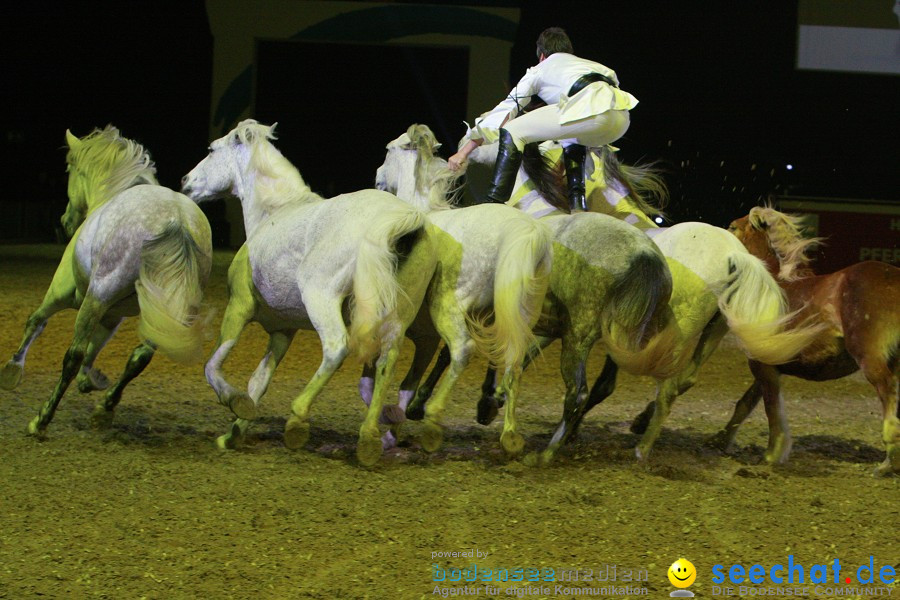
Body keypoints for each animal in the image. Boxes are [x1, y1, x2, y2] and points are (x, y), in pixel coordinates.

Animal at [0, 125, 213, 436]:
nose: (65, 222)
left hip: (95, 298)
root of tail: (177, 221)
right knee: (139, 357)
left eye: (69, 168)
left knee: (73, 355)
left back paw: (42, 419)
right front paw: (91, 380)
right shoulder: (113, 314)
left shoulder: (65, 294)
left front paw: (13, 369)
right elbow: (97, 345)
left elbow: (37, 322)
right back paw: (105, 407)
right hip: (168, 311)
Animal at [180, 117, 436, 464]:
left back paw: (298, 419)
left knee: (336, 347)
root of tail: (401, 219)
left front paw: (235, 404)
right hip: (396, 316)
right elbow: (259, 381)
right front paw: (233, 434)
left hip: (321, 298)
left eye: (211, 149)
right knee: (387, 361)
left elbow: (212, 365)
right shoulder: (283, 330)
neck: (274, 213)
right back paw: (371, 435)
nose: (185, 181)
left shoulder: (239, 306)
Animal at [374, 124, 688, 458]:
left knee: (578, 391)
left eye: (388, 150)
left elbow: (455, 353)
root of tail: (645, 256)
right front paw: (491, 402)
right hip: (625, 338)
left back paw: (546, 453)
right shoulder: (529, 319)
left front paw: (424, 404)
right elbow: (513, 354)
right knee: (629, 385)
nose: (378, 177)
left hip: (579, 334)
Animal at [716, 206, 900, 478]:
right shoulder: (768, 365)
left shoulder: (763, 366)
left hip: (870, 358)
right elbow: (746, 403)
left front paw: (772, 455)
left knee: (887, 394)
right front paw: (720, 441)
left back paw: (888, 462)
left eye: (732, 227)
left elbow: (772, 410)